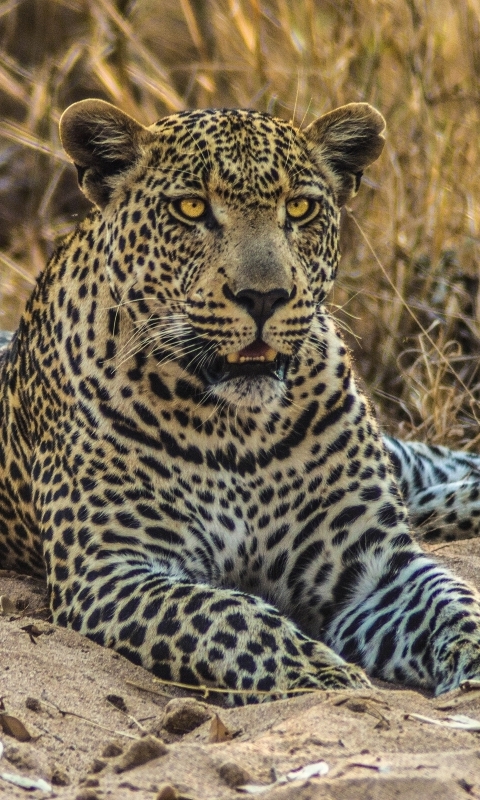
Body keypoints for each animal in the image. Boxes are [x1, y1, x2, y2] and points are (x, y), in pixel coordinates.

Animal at [0, 97, 480, 704]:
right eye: (191, 208)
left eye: (299, 207)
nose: (264, 297)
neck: (237, 427)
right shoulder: (111, 569)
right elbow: (230, 618)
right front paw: (328, 677)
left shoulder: (375, 565)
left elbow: (451, 601)